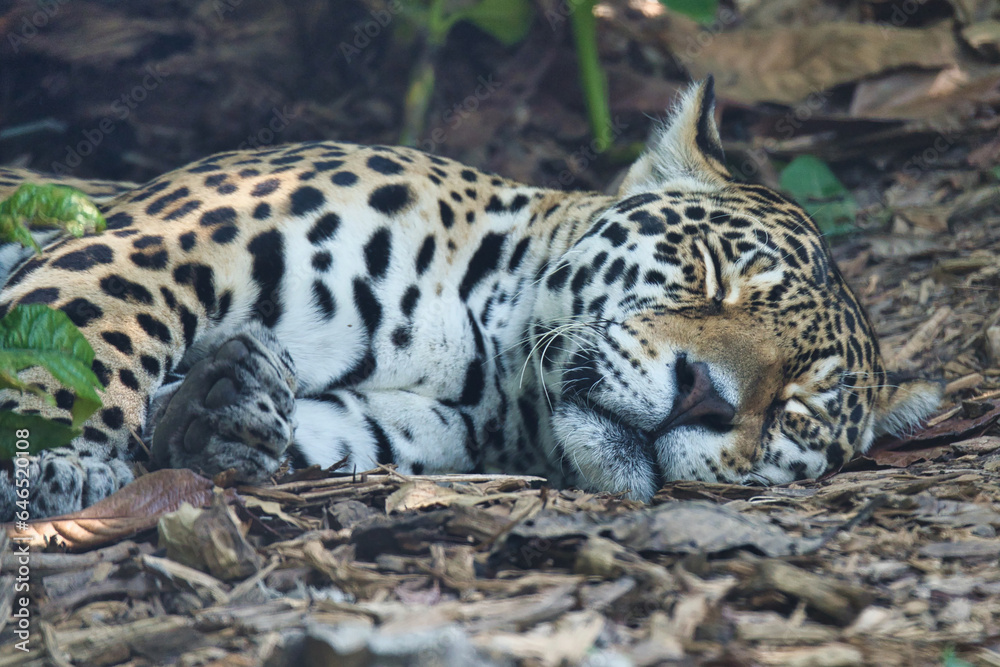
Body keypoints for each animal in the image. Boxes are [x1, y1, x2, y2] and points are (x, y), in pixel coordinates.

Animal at [0, 79, 940, 521]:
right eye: (709, 271)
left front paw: (216, 415)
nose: (702, 396)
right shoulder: (173, 237)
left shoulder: (380, 430)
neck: (478, 358)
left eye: (796, 409)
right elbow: (86, 339)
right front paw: (42, 460)